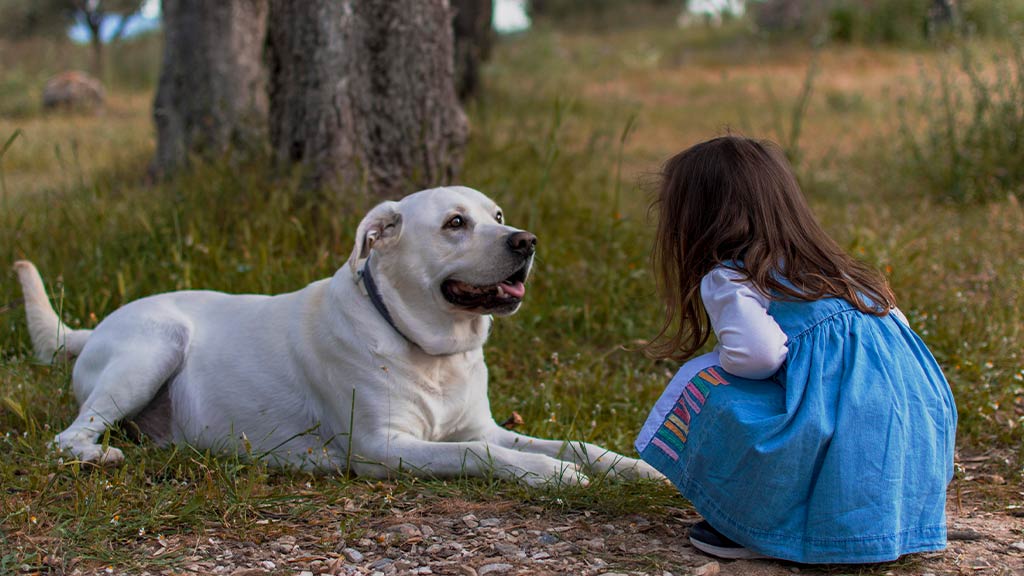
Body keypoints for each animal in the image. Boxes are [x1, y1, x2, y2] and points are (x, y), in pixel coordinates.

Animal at [18, 186, 663, 481]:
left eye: (497, 216)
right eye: (455, 223)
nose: (526, 241)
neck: (430, 350)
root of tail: (93, 328)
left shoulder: (483, 425)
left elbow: (571, 442)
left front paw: (631, 468)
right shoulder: (384, 447)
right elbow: (477, 454)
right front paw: (550, 474)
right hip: (155, 345)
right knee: (68, 437)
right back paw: (98, 456)